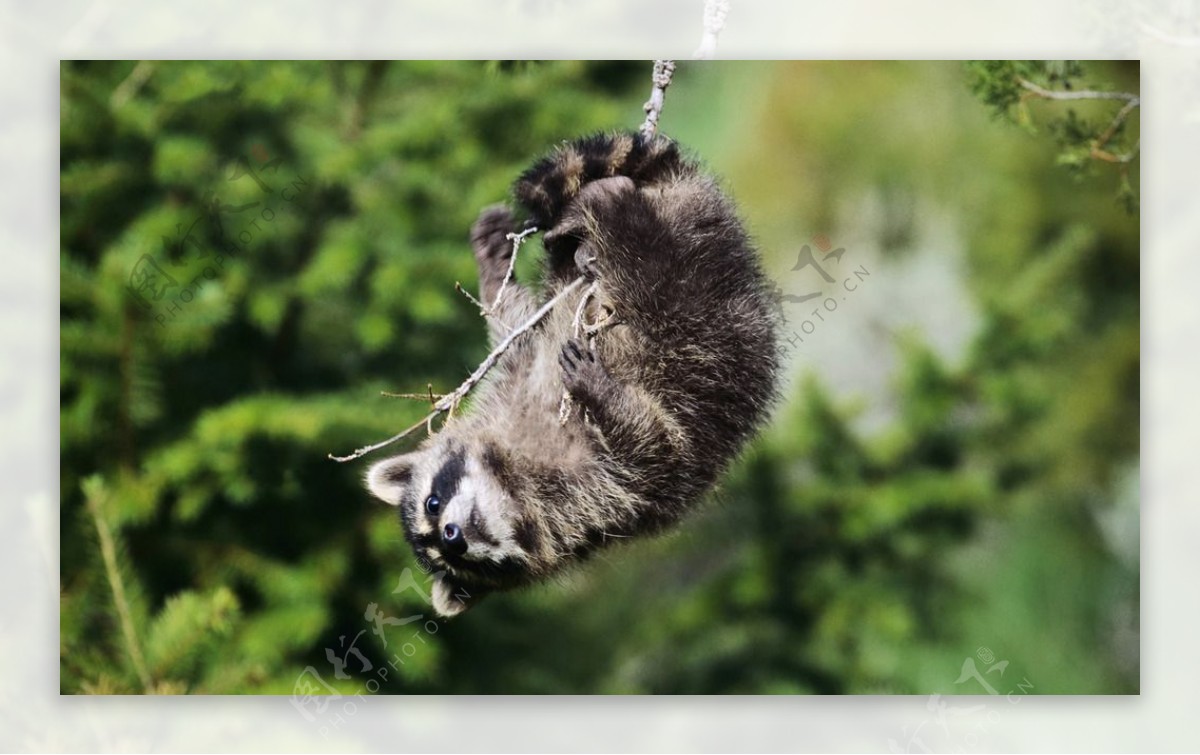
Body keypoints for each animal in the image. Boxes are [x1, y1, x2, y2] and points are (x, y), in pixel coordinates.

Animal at [360, 132, 782, 614]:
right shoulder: (606, 503)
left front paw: (491, 270)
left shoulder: (520, 381)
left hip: (696, 284)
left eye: (432, 503)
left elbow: (517, 328)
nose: (453, 537)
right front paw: (609, 398)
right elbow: (654, 450)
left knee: (651, 272)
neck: (511, 479)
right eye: (455, 560)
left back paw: (607, 204)